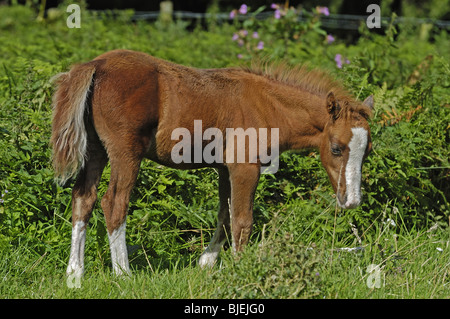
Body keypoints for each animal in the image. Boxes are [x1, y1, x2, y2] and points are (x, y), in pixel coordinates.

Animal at [51, 50, 372, 278]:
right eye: (336, 148)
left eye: (366, 152)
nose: (352, 201)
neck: (267, 107)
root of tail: (96, 64)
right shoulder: (245, 167)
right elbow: (242, 220)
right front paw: (241, 268)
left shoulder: (223, 168)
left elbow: (224, 215)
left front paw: (206, 262)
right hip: (125, 151)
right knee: (114, 203)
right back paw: (123, 273)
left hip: (95, 150)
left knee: (83, 198)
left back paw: (74, 274)